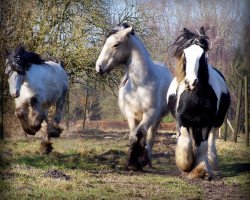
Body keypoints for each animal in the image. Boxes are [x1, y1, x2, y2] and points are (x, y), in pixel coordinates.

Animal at [94, 23, 173, 170]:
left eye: (116, 44)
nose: (99, 67)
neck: (140, 83)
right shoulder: (131, 115)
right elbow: (133, 136)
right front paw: (131, 163)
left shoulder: (150, 114)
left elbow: (140, 134)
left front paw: (139, 162)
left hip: (157, 119)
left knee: (150, 137)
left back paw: (148, 161)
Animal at [167, 27, 231, 179]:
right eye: (185, 53)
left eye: (202, 55)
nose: (191, 83)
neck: (195, 97)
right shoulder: (182, 120)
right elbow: (185, 142)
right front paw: (186, 166)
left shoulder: (207, 122)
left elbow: (203, 145)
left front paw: (200, 170)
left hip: (216, 122)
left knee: (211, 140)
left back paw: (212, 162)